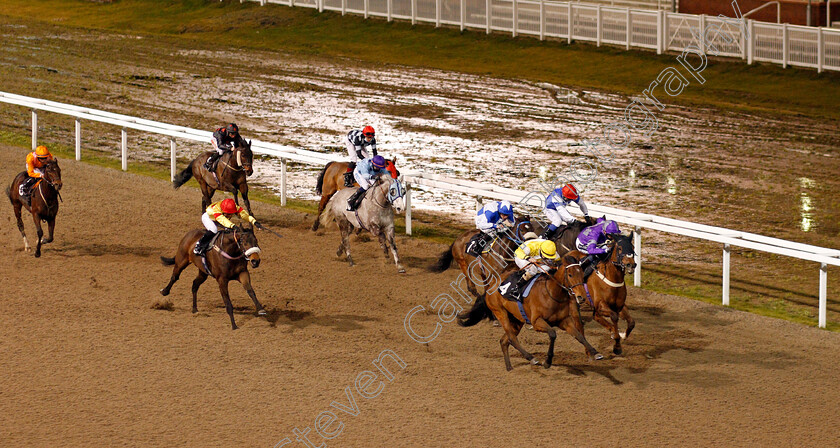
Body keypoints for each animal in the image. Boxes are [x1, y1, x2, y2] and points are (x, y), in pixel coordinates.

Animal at [460, 256, 604, 372]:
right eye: (570, 275)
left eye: (582, 274)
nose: (581, 297)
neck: (551, 293)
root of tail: (490, 287)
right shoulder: (536, 322)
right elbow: (553, 333)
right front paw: (547, 362)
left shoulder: (564, 321)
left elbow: (579, 335)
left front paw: (595, 352)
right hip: (500, 313)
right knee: (511, 338)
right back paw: (531, 358)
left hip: (516, 320)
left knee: (504, 340)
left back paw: (509, 366)